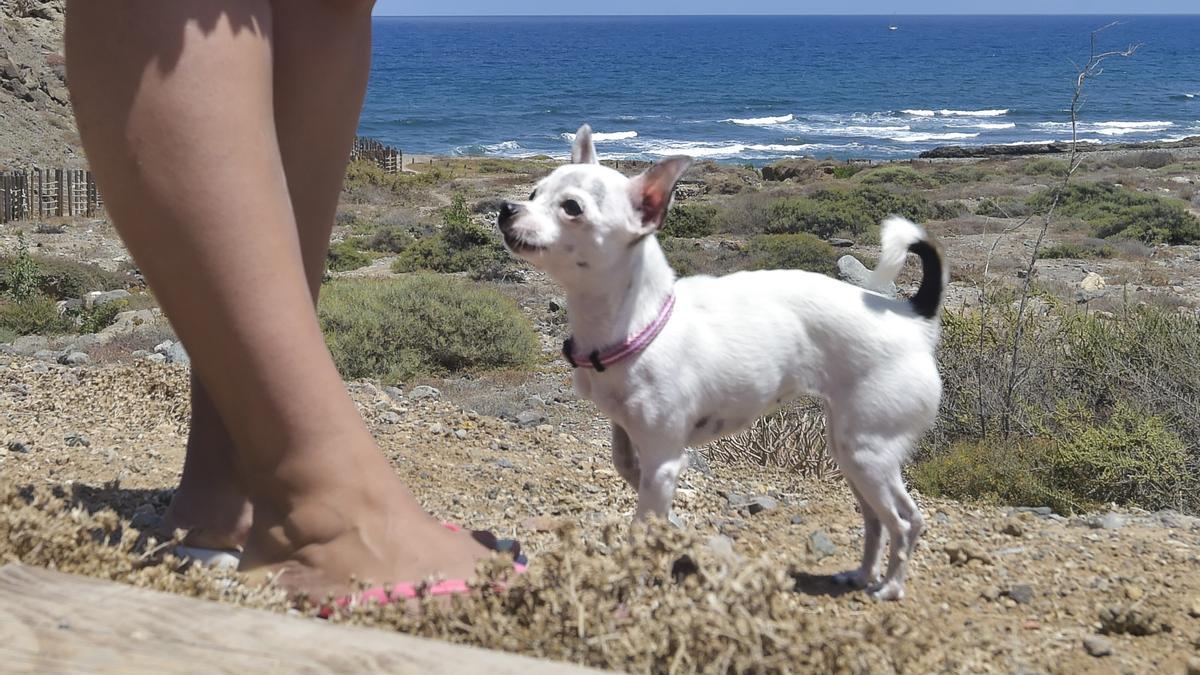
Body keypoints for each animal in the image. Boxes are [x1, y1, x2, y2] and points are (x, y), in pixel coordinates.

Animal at [496, 123, 945, 595]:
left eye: (572, 208)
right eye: (534, 192)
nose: (506, 207)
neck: (641, 322)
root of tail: (914, 318)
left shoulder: (663, 459)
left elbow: (643, 520)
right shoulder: (630, 436)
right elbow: (627, 468)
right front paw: (671, 523)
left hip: (867, 453)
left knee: (904, 522)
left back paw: (891, 586)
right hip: (850, 452)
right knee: (883, 518)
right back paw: (860, 574)